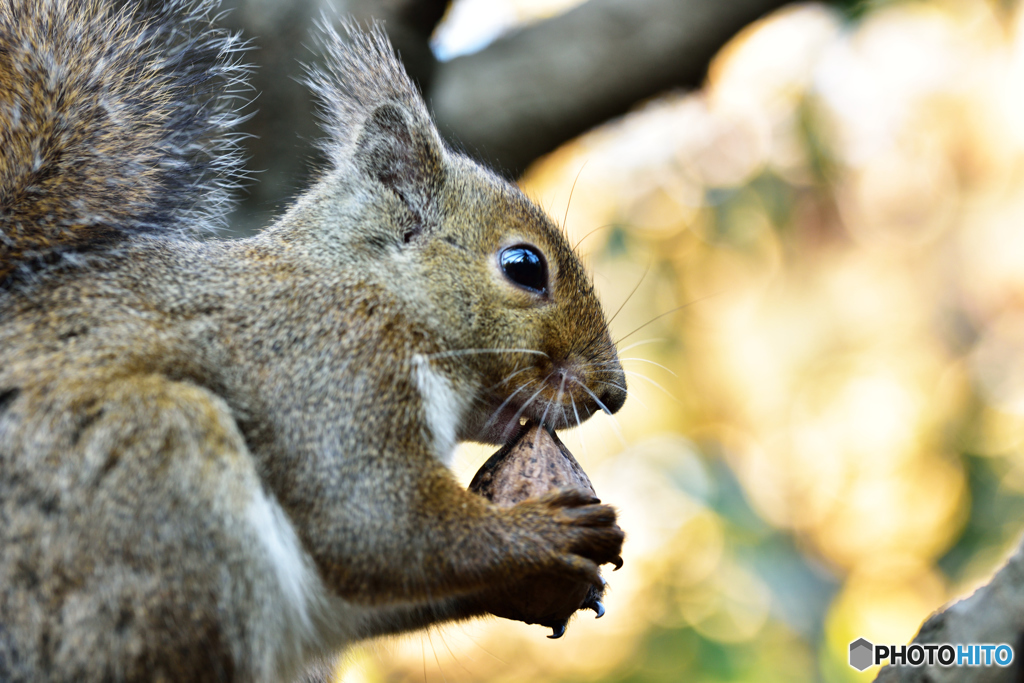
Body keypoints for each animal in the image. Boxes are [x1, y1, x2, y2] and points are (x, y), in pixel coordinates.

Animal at [0, 1, 626, 683]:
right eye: (524, 266)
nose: (614, 394)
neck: (368, 287)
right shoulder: (332, 367)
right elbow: (379, 528)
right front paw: (547, 533)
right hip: (156, 470)